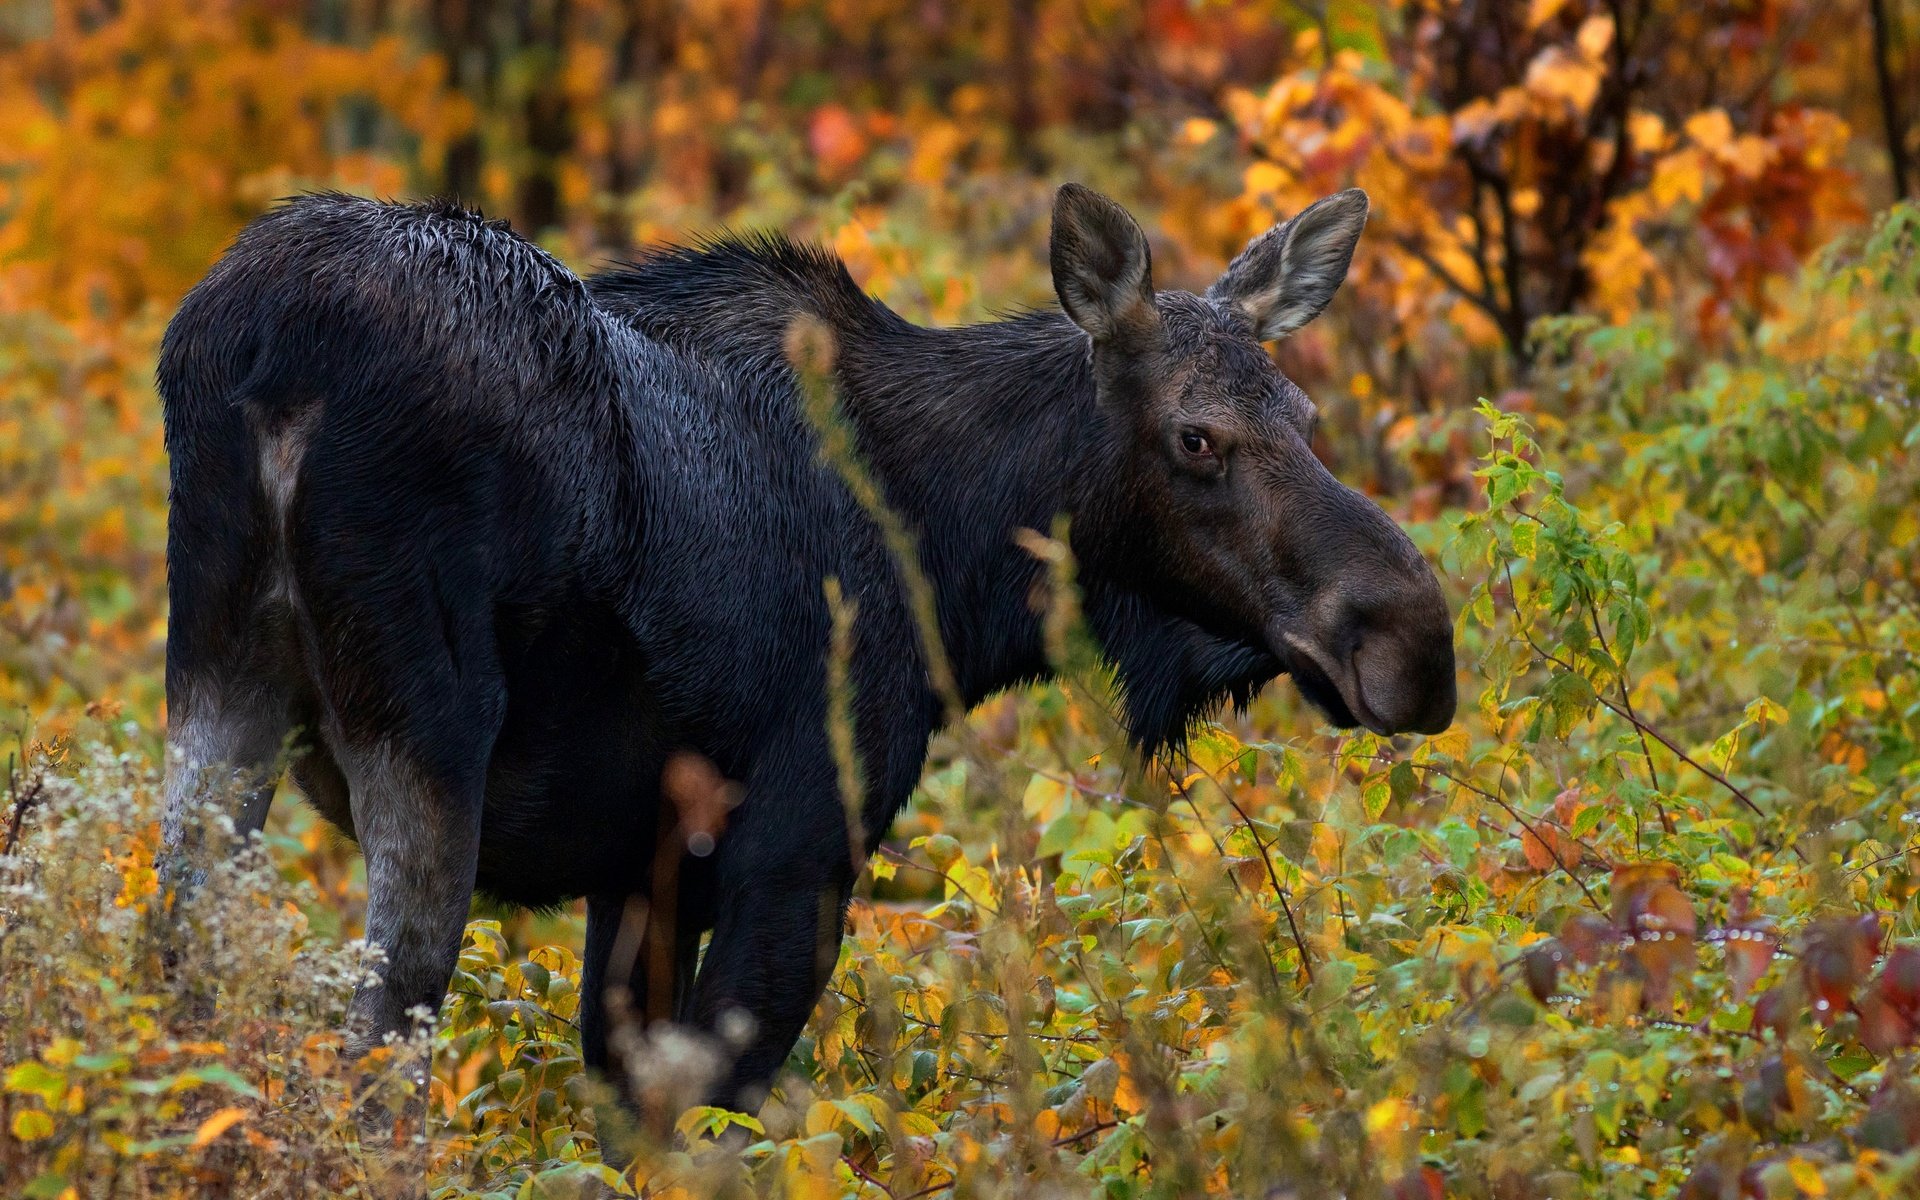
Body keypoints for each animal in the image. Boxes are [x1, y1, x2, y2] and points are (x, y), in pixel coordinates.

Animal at [161, 182, 1451, 1105]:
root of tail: (266, 347)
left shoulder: (648, 867)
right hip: (425, 729)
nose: (1415, 640)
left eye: (1307, 415)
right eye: (1197, 436)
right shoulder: (798, 846)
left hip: (217, 687)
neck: (957, 564)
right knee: (379, 1057)